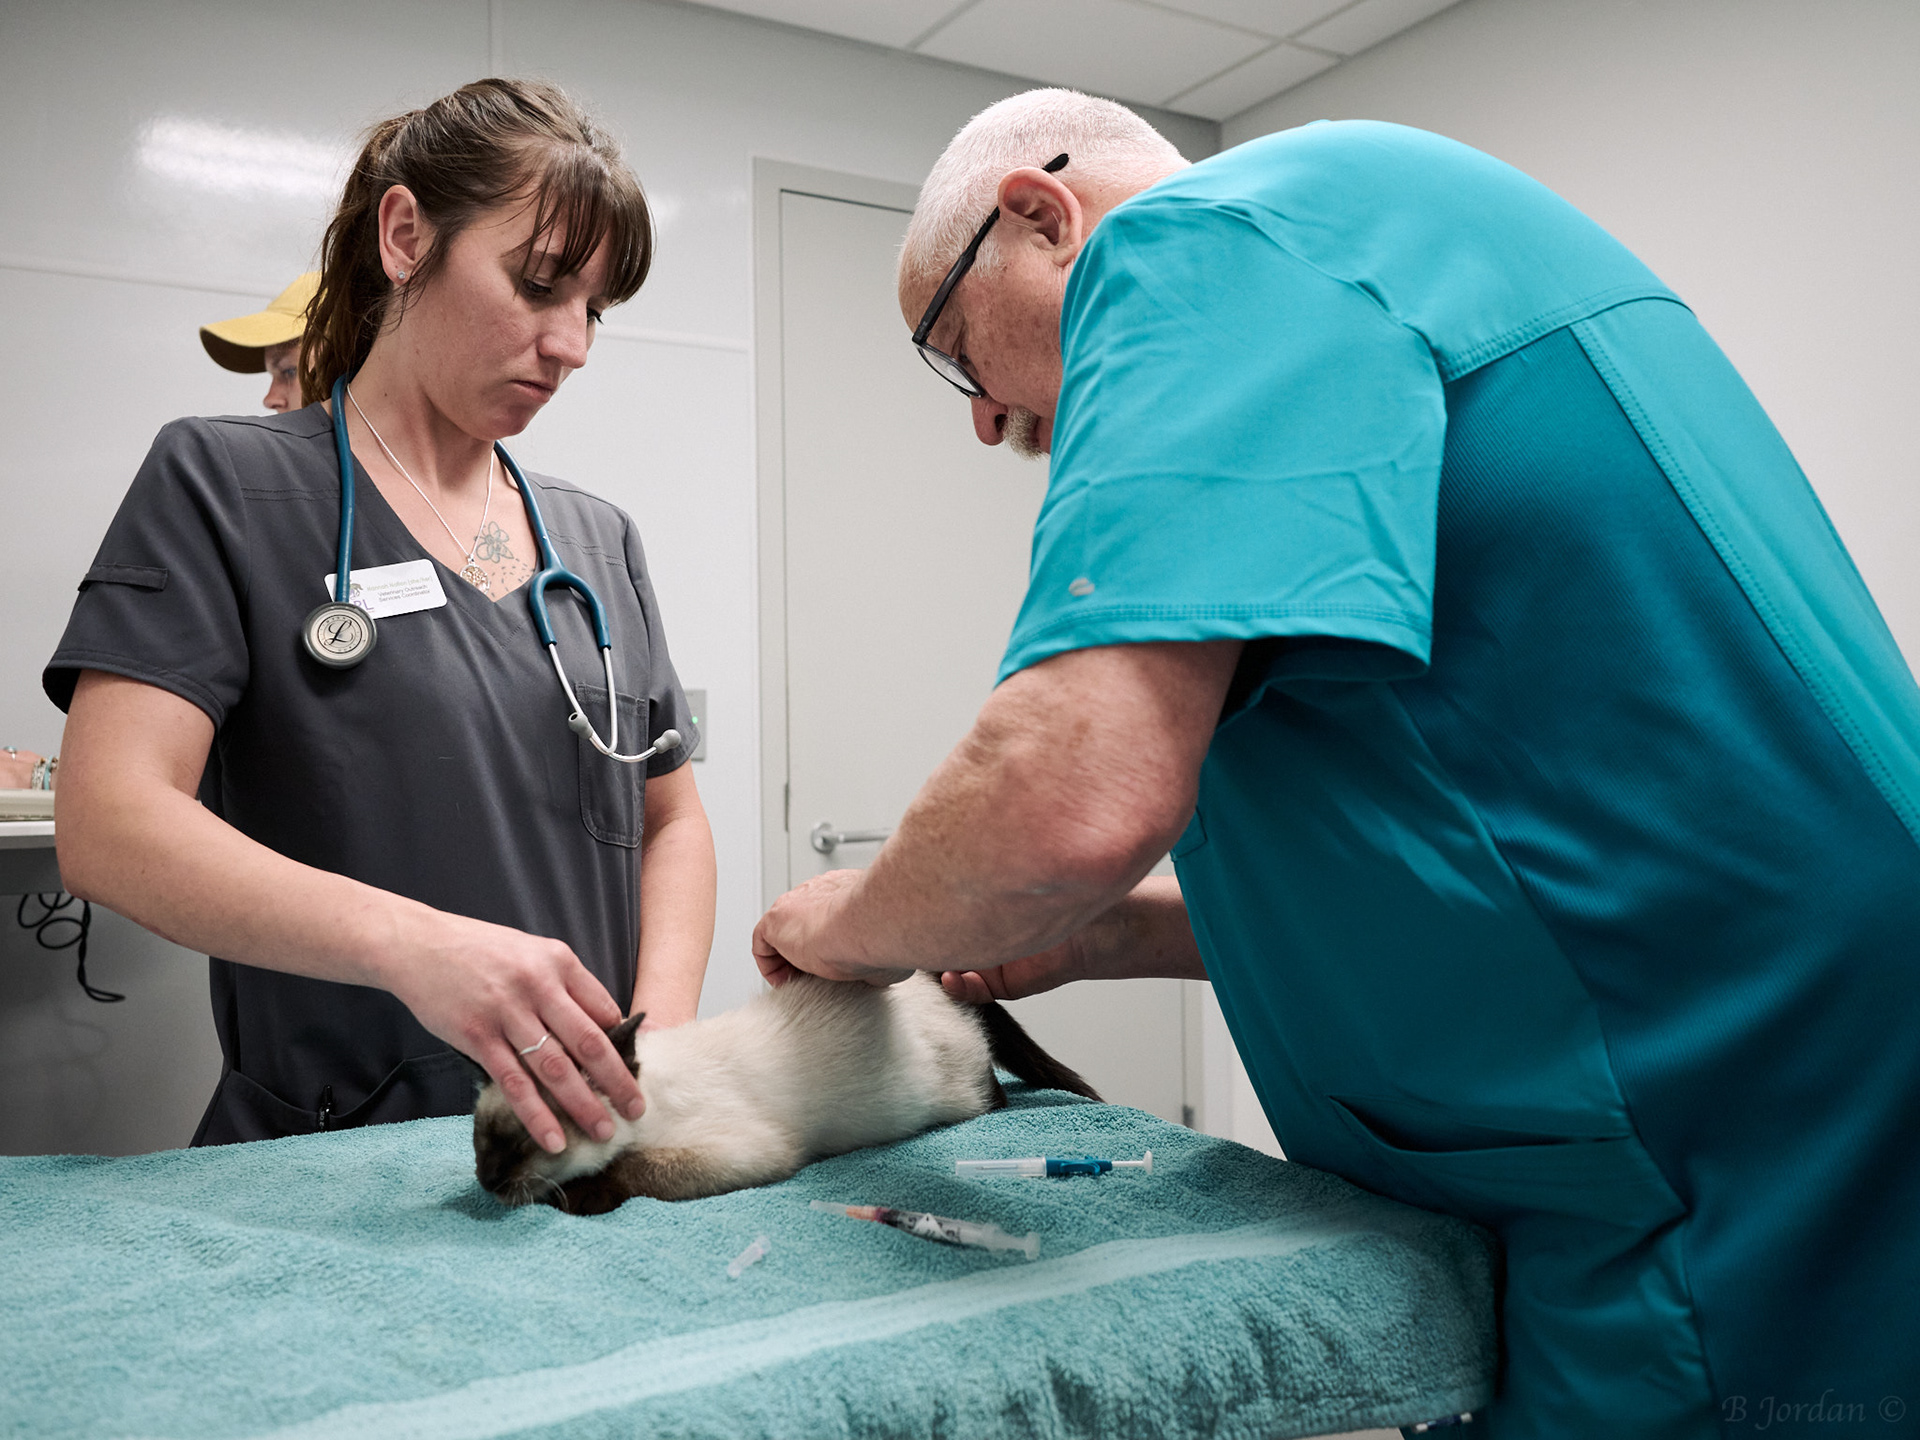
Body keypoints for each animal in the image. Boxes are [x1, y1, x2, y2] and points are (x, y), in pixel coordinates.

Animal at [472, 972, 1100, 1214]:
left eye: (526, 1143)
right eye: (480, 1145)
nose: (487, 1181)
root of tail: (931, 980)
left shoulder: (748, 1152)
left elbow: (633, 1169)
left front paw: (581, 1198)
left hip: (956, 1095)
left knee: (993, 1092)